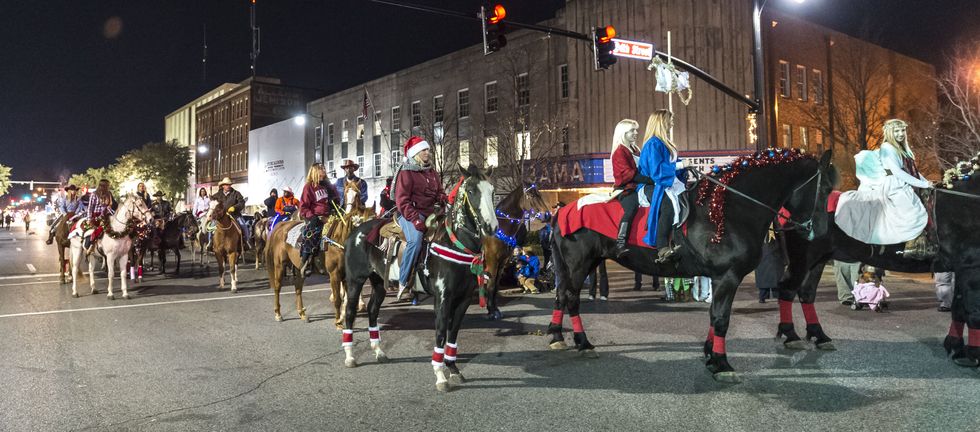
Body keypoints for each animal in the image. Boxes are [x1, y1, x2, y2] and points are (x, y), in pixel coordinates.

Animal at [342, 164, 498, 394]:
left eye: (492, 191)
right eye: (471, 191)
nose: (491, 227)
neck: (454, 242)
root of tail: (356, 231)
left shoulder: (463, 299)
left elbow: (453, 333)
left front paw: (453, 368)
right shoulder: (442, 298)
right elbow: (441, 332)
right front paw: (440, 375)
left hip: (379, 283)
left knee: (372, 311)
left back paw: (379, 351)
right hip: (355, 281)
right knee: (350, 312)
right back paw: (350, 356)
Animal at [480, 183, 552, 320]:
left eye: (539, 194)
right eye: (531, 195)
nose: (547, 215)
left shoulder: (501, 263)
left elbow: (495, 286)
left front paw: (494, 309)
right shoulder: (492, 262)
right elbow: (491, 286)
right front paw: (491, 311)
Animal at [552, 148, 836, 382]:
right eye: (824, 189)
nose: (822, 233)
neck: (725, 210)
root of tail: (563, 211)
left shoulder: (720, 278)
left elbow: (714, 316)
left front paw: (711, 355)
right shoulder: (727, 276)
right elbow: (721, 319)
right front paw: (721, 364)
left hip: (584, 264)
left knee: (561, 297)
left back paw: (558, 337)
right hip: (579, 265)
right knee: (572, 299)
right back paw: (583, 343)